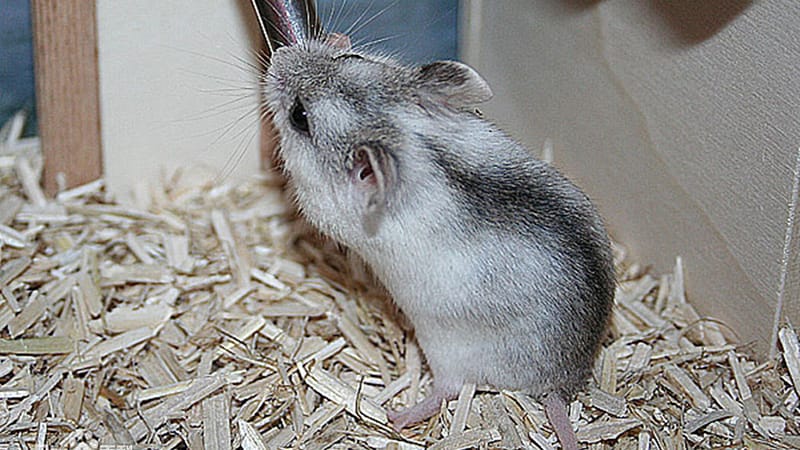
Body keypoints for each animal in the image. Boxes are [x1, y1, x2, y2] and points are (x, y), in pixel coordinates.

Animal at [263, 39, 615, 449]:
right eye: (350, 58)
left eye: (299, 115)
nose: (279, 55)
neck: (409, 142)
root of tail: (562, 384)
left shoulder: (319, 206)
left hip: (450, 353)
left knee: (446, 391)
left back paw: (396, 417)